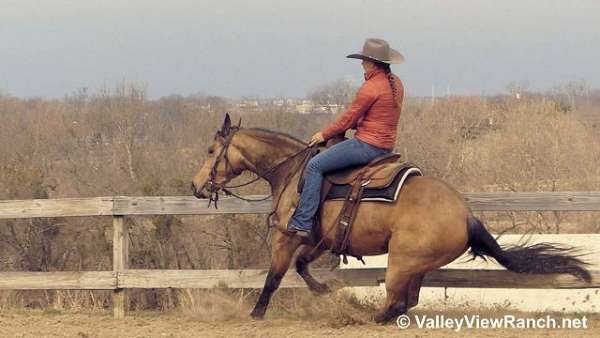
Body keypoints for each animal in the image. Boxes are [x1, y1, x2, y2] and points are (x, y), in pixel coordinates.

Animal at [191, 113, 592, 322]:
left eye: (211, 150)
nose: (196, 186)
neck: (294, 172)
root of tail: (465, 215)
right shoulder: (318, 239)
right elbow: (303, 267)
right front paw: (324, 290)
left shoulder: (288, 236)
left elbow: (275, 276)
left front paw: (257, 313)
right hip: (413, 265)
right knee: (407, 302)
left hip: (400, 261)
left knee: (397, 302)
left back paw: (368, 317)